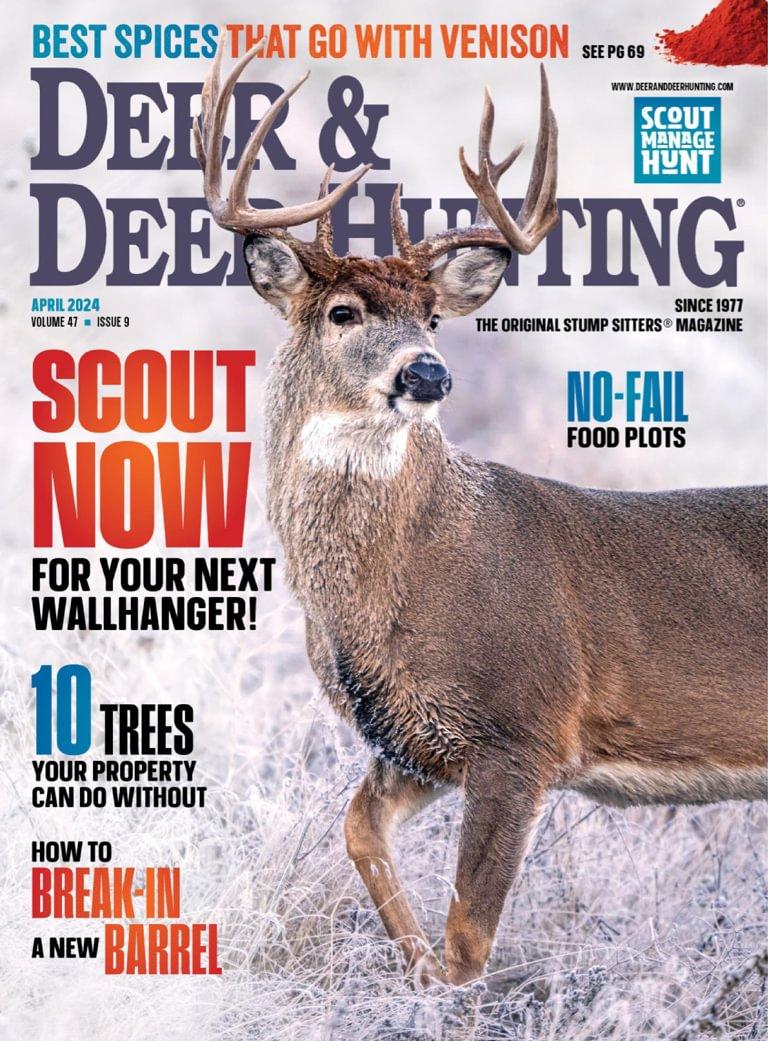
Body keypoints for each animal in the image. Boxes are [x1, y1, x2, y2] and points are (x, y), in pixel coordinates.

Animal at [195, 37, 768, 988]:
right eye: (343, 310)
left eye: (432, 316)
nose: (428, 373)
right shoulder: (419, 739)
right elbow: (360, 833)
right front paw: (412, 983)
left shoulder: (521, 728)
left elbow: (469, 944)